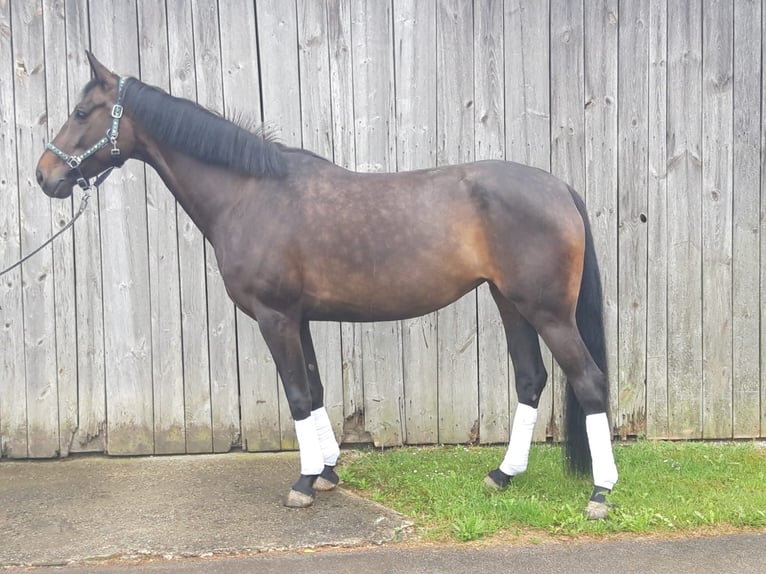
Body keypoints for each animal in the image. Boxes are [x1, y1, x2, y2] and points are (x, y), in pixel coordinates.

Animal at [36, 52, 618, 520]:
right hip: (510, 303)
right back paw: (502, 475)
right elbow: (314, 390)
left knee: (589, 382)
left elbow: (296, 394)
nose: (44, 176)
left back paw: (601, 493)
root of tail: (558, 187)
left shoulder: (275, 317)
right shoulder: (299, 318)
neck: (250, 193)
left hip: (548, 313)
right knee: (530, 380)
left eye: (82, 113)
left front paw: (303, 482)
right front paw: (329, 471)